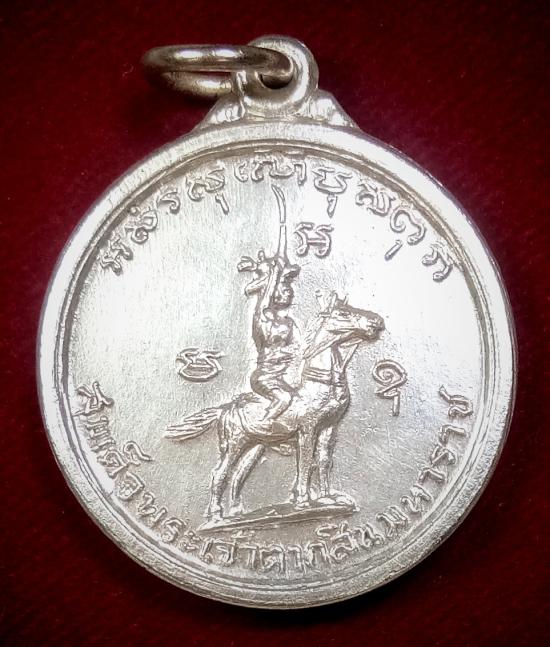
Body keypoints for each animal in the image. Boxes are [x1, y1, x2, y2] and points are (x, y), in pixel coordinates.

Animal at [166, 292, 384, 523]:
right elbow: (305, 462)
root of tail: (226, 407)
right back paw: (216, 516)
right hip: (235, 443)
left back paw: (236, 512)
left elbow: (323, 460)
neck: (318, 386)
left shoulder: (329, 428)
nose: (377, 321)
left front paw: (326, 498)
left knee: (238, 475)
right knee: (220, 473)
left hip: (254, 446)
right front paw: (303, 501)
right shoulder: (307, 430)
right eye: (343, 314)